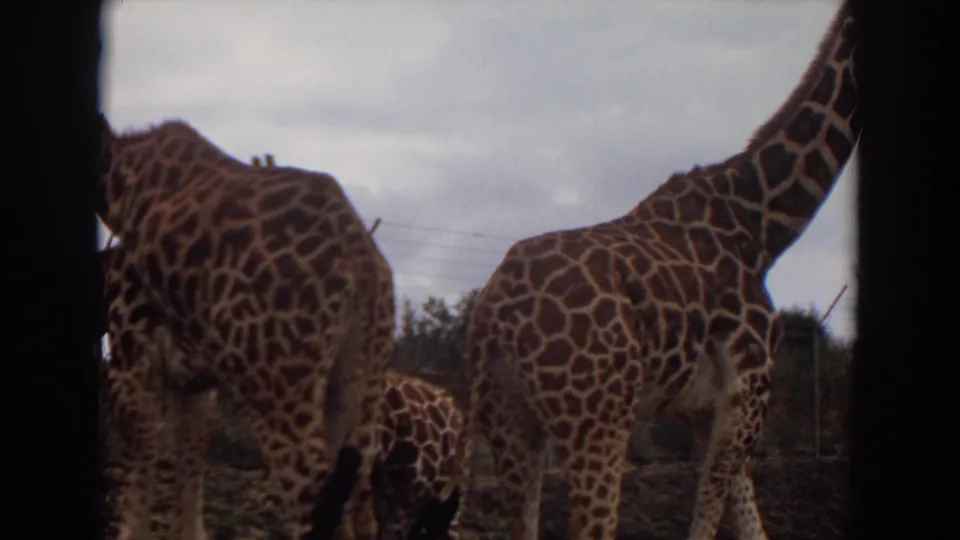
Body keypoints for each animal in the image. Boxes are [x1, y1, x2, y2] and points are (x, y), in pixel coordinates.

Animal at [94, 117, 396, 540]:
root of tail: (363, 261)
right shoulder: (193, 383)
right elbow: (188, 478)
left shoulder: (131, 363)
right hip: (361, 382)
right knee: (361, 505)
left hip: (277, 384)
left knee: (312, 503)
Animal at [462, 3, 859, 540]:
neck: (762, 227)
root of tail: (494, 317)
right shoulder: (749, 392)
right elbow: (709, 519)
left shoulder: (707, 407)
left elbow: (749, 520)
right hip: (597, 421)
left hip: (507, 420)